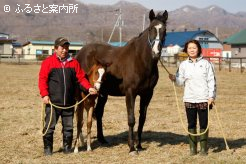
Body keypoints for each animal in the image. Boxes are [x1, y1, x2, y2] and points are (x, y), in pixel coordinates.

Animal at [75, 9, 167, 154]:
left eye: (164, 30)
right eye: (151, 28)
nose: (156, 52)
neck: (140, 60)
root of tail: (80, 53)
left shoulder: (147, 94)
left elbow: (142, 119)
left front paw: (139, 145)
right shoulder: (130, 93)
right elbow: (131, 119)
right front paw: (132, 147)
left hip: (103, 94)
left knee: (99, 113)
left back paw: (102, 139)